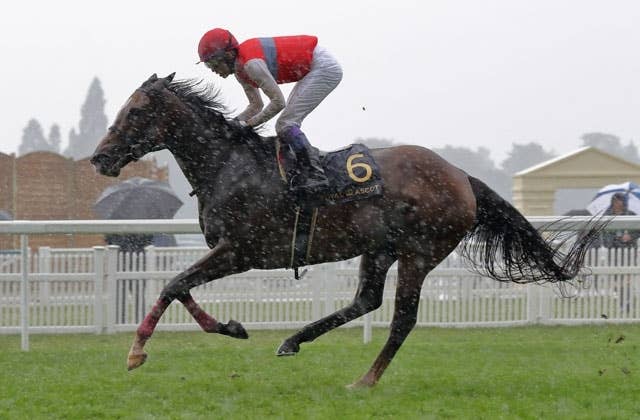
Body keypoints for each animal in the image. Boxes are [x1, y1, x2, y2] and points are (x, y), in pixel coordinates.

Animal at [90, 73, 601, 388]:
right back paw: (294, 341)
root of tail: (460, 175)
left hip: (420, 251)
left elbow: (173, 284)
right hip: (378, 248)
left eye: (136, 112)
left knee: (401, 319)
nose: (99, 157)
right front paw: (230, 327)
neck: (229, 166)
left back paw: (365, 380)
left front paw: (136, 352)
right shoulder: (228, 251)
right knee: (366, 300)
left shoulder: (241, 251)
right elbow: (180, 287)